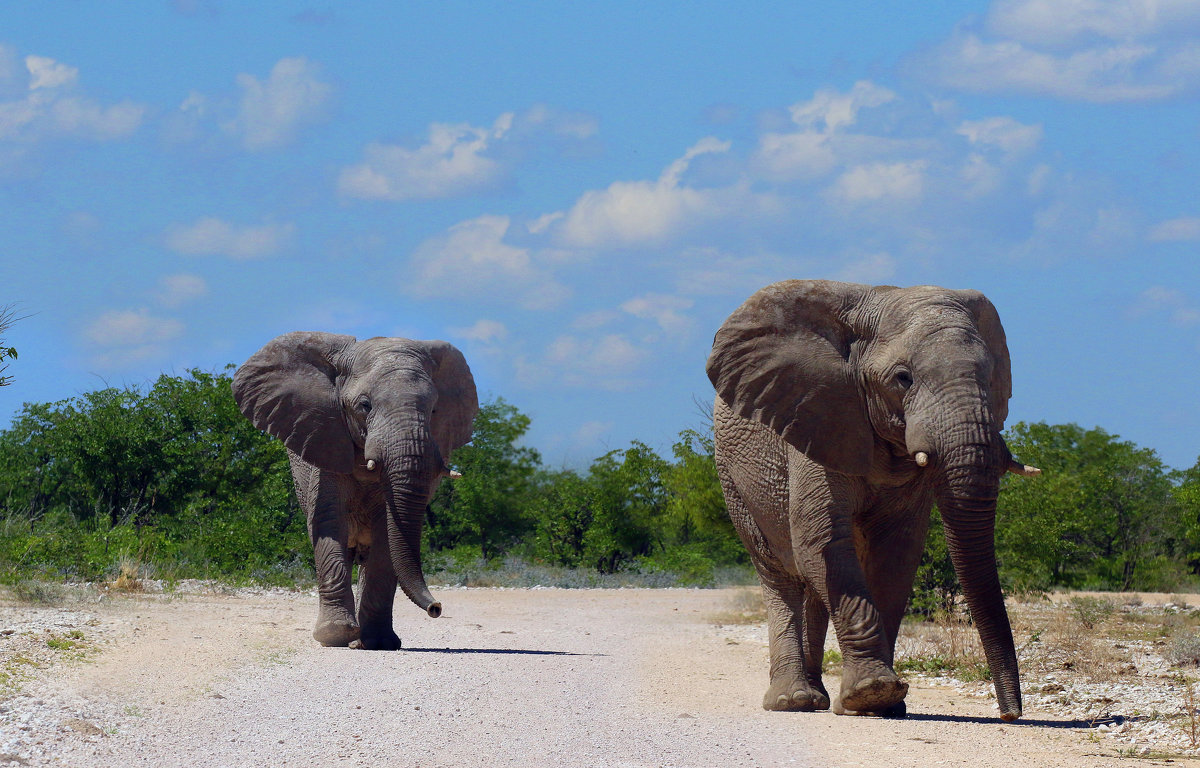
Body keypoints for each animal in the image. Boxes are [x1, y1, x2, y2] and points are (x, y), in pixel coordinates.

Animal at [231, 333, 475, 652]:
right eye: (364, 405)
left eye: (434, 409)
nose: (436, 608)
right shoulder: (324, 444)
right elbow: (329, 522)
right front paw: (335, 635)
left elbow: (386, 536)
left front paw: (378, 642)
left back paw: (362, 640)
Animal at [700, 280, 1041, 720]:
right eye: (903, 378)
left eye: (992, 377)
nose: (1010, 713)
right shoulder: (816, 418)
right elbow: (822, 542)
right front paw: (873, 693)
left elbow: (894, 555)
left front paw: (883, 705)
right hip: (732, 476)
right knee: (780, 573)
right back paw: (793, 702)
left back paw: (818, 699)